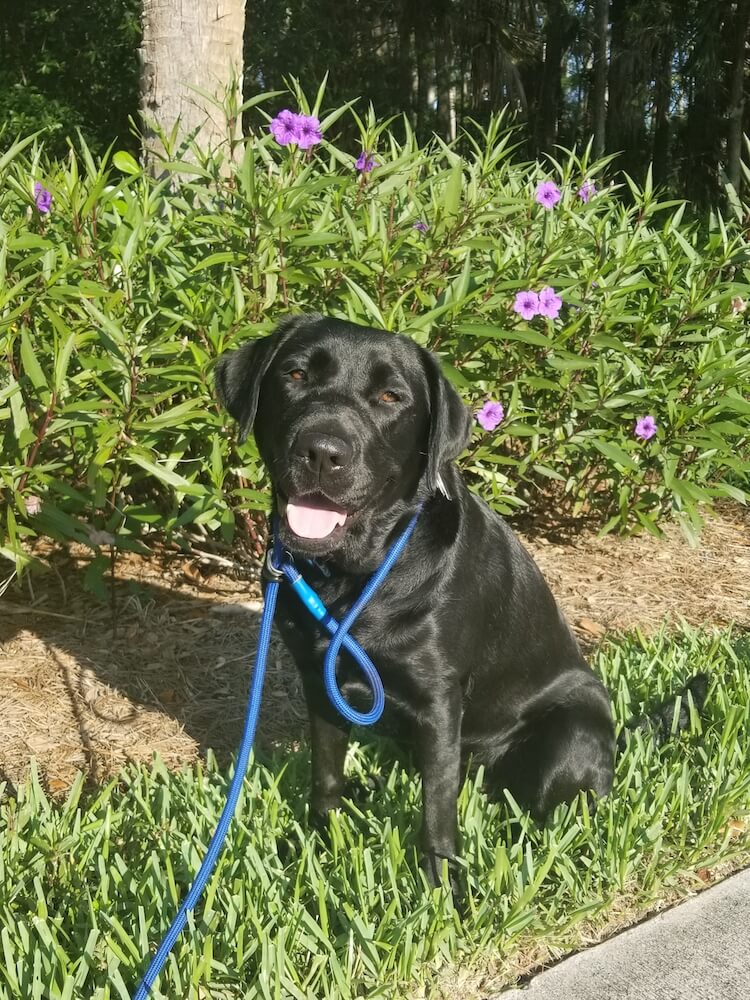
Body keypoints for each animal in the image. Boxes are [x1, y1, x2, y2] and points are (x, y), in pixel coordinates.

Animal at [216, 314, 616, 892]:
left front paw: (444, 889)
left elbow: (436, 811)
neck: (356, 577)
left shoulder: (438, 700)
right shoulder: (319, 681)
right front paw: (319, 840)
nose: (322, 451)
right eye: (294, 374)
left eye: (391, 396)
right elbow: (325, 773)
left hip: (572, 732)